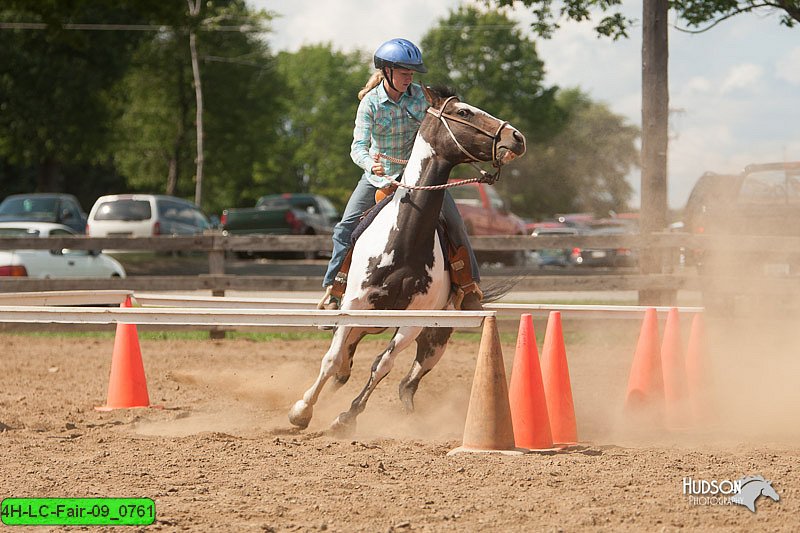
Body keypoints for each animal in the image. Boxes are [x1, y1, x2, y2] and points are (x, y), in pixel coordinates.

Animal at [288, 84, 524, 432]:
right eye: (464, 112)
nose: (516, 137)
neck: (404, 240)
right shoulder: (354, 305)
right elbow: (331, 359)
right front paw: (301, 410)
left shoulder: (415, 319)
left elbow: (382, 364)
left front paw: (347, 417)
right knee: (344, 359)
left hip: (435, 338)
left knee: (406, 381)